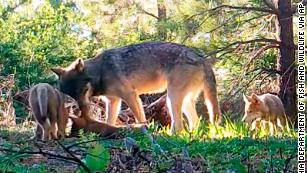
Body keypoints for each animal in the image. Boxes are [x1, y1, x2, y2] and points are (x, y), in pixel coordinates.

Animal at [52, 41, 221, 132]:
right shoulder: (113, 102)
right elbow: (109, 121)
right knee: (195, 123)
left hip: (171, 99)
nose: (82, 109)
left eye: (83, 91)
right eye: (72, 96)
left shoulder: (131, 96)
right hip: (181, 101)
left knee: (179, 127)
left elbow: (141, 118)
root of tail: (202, 58)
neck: (100, 72)